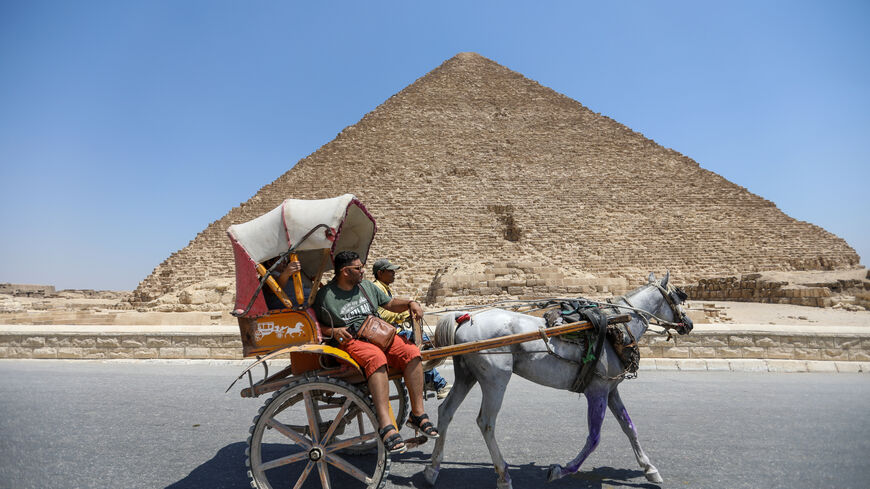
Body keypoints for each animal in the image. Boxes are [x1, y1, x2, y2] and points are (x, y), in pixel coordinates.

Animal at [422, 270, 696, 488]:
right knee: (486, 422)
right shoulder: (596, 391)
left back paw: (432, 470)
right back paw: (503, 475)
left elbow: (629, 427)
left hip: (467, 374)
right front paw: (560, 470)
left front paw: (650, 469)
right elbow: (594, 437)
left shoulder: (611, 390)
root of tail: (464, 318)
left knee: (446, 411)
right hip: (495, 378)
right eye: (678, 296)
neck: (616, 326)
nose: (689, 324)